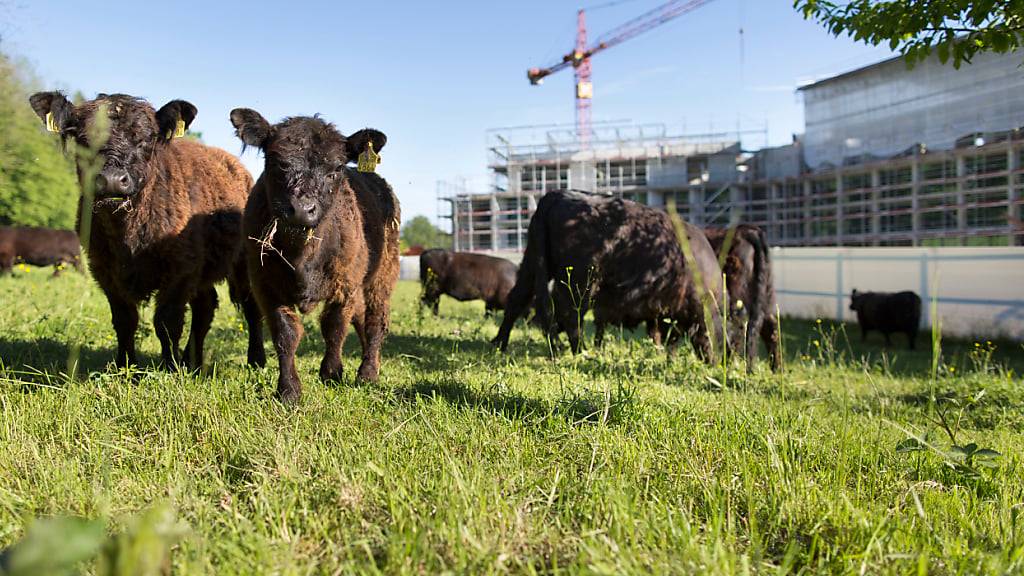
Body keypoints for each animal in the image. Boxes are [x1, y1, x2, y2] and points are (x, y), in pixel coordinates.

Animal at [29, 89, 264, 366]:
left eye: (146, 138)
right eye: (83, 139)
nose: (112, 180)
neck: (126, 235)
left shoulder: (180, 269)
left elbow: (167, 321)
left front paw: (169, 367)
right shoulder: (103, 269)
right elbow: (124, 320)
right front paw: (125, 365)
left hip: (244, 261)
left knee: (250, 306)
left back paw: (255, 360)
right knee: (205, 307)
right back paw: (193, 362)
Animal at [230, 108, 401, 403]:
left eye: (336, 169)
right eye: (278, 163)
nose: (301, 209)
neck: (301, 255)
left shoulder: (345, 285)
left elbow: (334, 327)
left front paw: (331, 373)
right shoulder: (265, 286)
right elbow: (285, 333)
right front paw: (289, 390)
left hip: (382, 275)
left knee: (375, 320)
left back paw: (368, 373)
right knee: (361, 318)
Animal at [493, 189, 720, 358]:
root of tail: (555, 195)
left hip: (532, 264)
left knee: (516, 300)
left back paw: (499, 343)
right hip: (581, 281)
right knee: (570, 314)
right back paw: (581, 351)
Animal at [704, 224, 782, 373]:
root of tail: (748, 230)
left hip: (736, 295)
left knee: (738, 327)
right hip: (766, 296)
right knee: (770, 328)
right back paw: (777, 370)